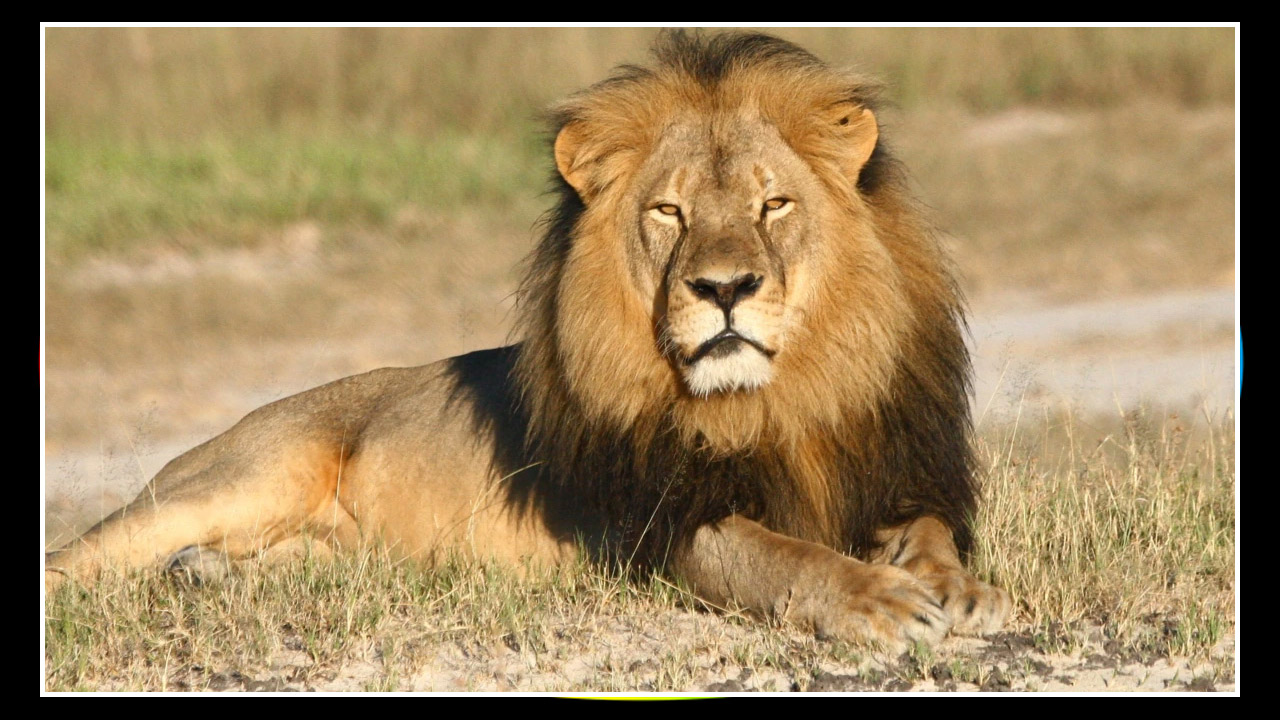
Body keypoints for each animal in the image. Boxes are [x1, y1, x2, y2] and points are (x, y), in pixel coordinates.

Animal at [45, 31, 1010, 652]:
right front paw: (880, 602)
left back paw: (206, 577)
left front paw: (958, 592)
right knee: (78, 558)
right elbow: (780, 556)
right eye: (670, 212)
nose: (724, 289)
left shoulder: (894, 471)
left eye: (774, 204)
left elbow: (932, 533)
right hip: (244, 474)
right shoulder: (656, 526)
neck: (776, 399)